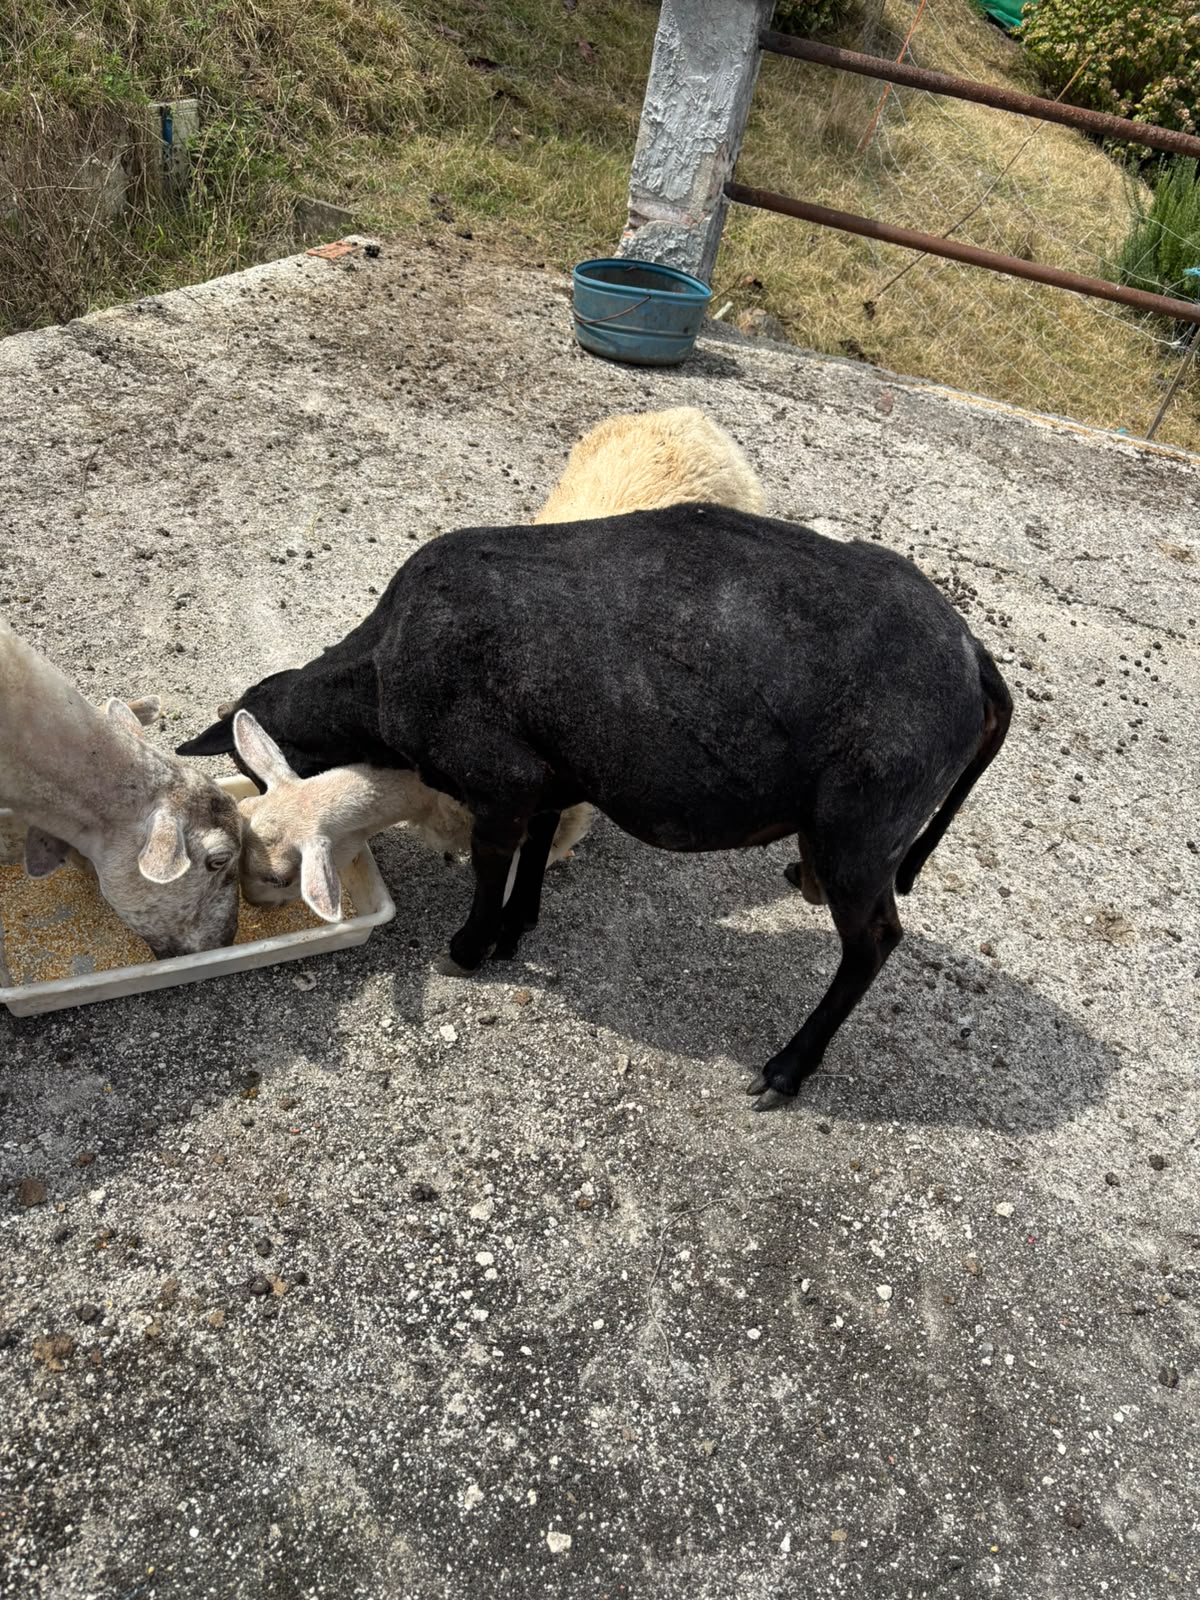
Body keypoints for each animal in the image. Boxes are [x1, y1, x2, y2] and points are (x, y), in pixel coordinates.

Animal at [178, 502, 1012, 1108]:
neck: (378, 678)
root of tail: (975, 659)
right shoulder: (551, 770)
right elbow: (541, 841)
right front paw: (517, 926)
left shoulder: (498, 779)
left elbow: (492, 863)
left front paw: (470, 947)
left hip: (863, 825)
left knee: (873, 943)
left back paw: (786, 1069)